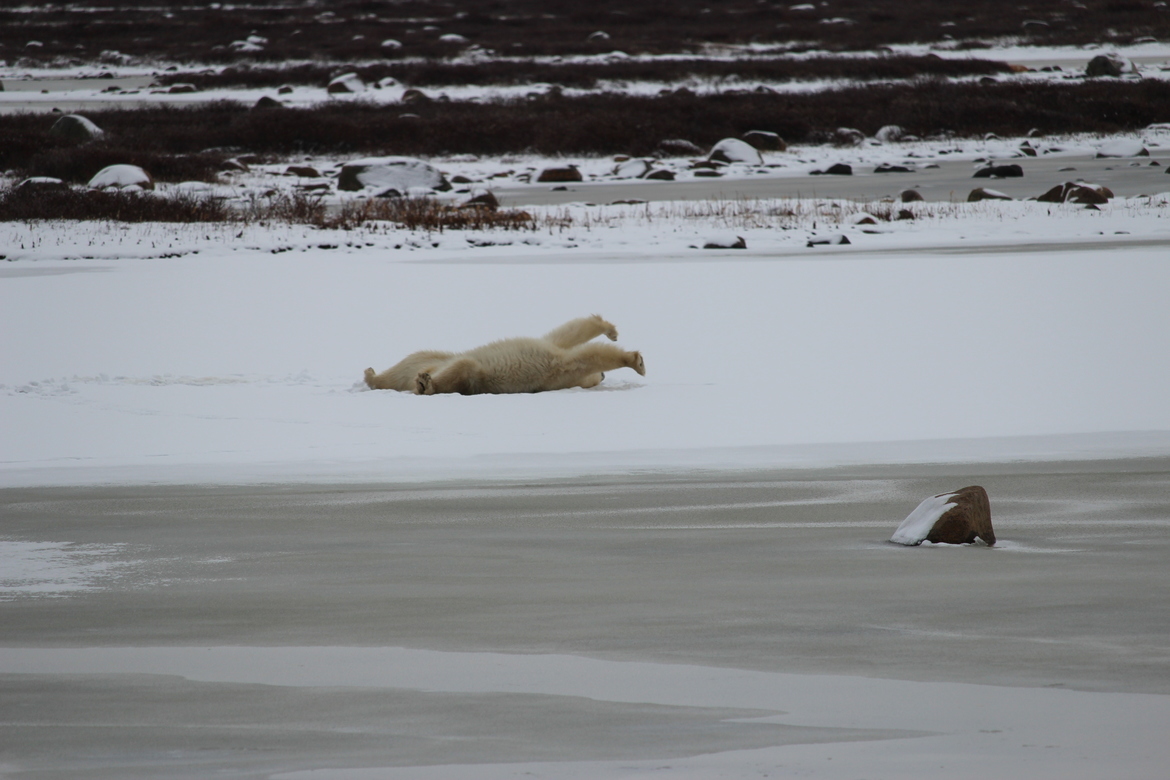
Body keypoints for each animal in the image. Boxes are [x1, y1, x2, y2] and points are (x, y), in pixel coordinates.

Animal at [363, 314, 646, 395]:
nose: (602, 377)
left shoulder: (555, 367)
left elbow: (586, 353)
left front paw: (636, 361)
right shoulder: (550, 353)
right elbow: (570, 335)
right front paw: (611, 332)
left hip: (466, 373)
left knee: (461, 369)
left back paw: (423, 383)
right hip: (432, 356)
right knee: (404, 366)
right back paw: (373, 374)